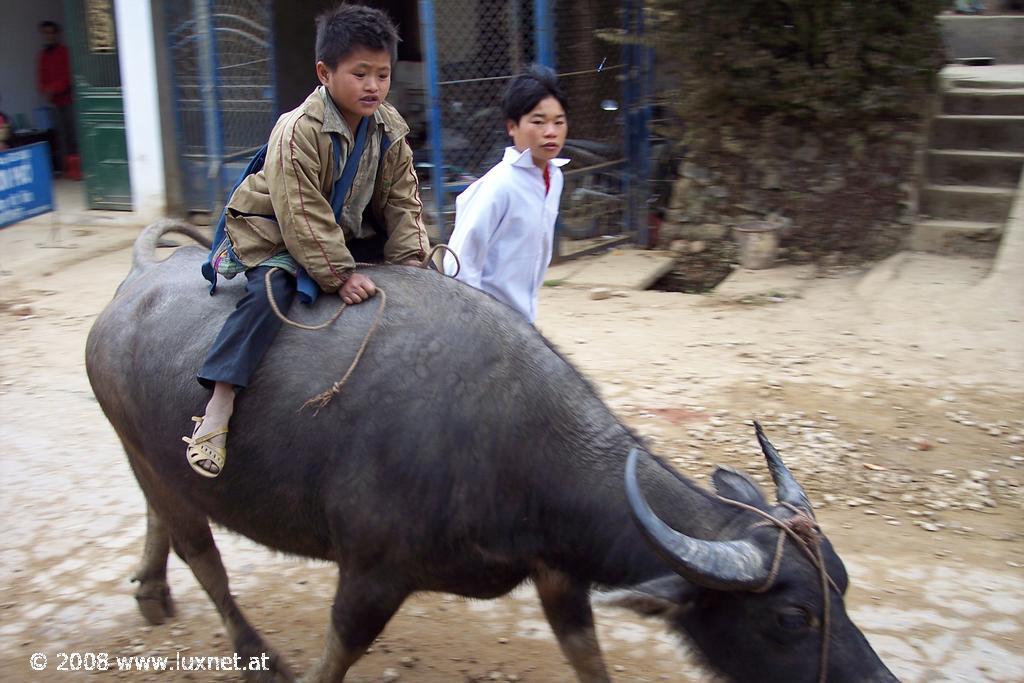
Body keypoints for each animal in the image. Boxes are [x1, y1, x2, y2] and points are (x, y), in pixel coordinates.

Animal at [86, 222, 897, 679]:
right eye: (791, 618)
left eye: (843, 584)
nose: (875, 681)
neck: (513, 445)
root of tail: (133, 282)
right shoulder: (371, 575)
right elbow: (334, 656)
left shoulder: (560, 576)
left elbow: (589, 660)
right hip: (145, 455)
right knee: (205, 556)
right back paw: (252, 655)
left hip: (151, 462)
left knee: (165, 521)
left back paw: (151, 592)